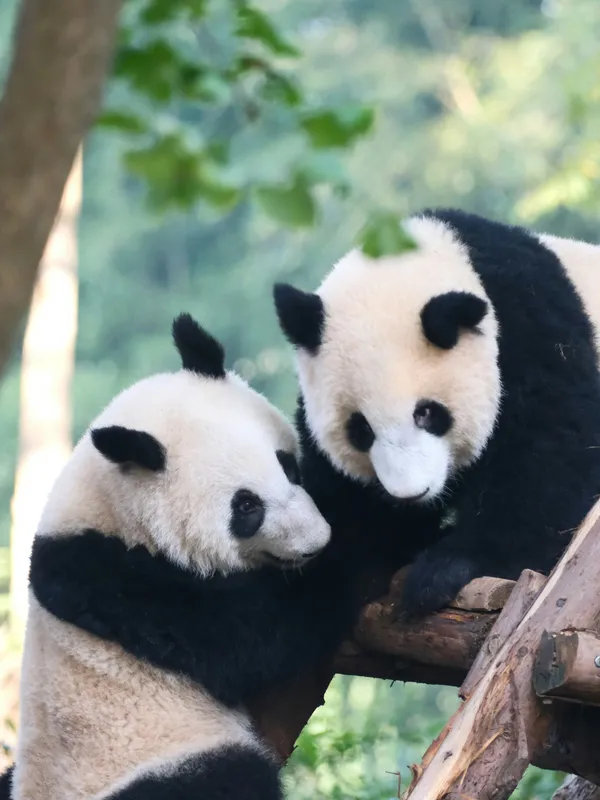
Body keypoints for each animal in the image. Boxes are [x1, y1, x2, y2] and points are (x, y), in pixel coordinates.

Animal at [3, 313, 357, 799]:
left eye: (288, 466)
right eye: (246, 508)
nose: (315, 542)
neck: (108, 507)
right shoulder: (110, 582)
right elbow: (264, 630)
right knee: (228, 776)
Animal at [273, 208, 600, 618]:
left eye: (427, 413)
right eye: (360, 429)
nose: (410, 494)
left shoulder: (535, 331)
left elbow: (551, 460)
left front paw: (443, 570)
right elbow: (344, 510)